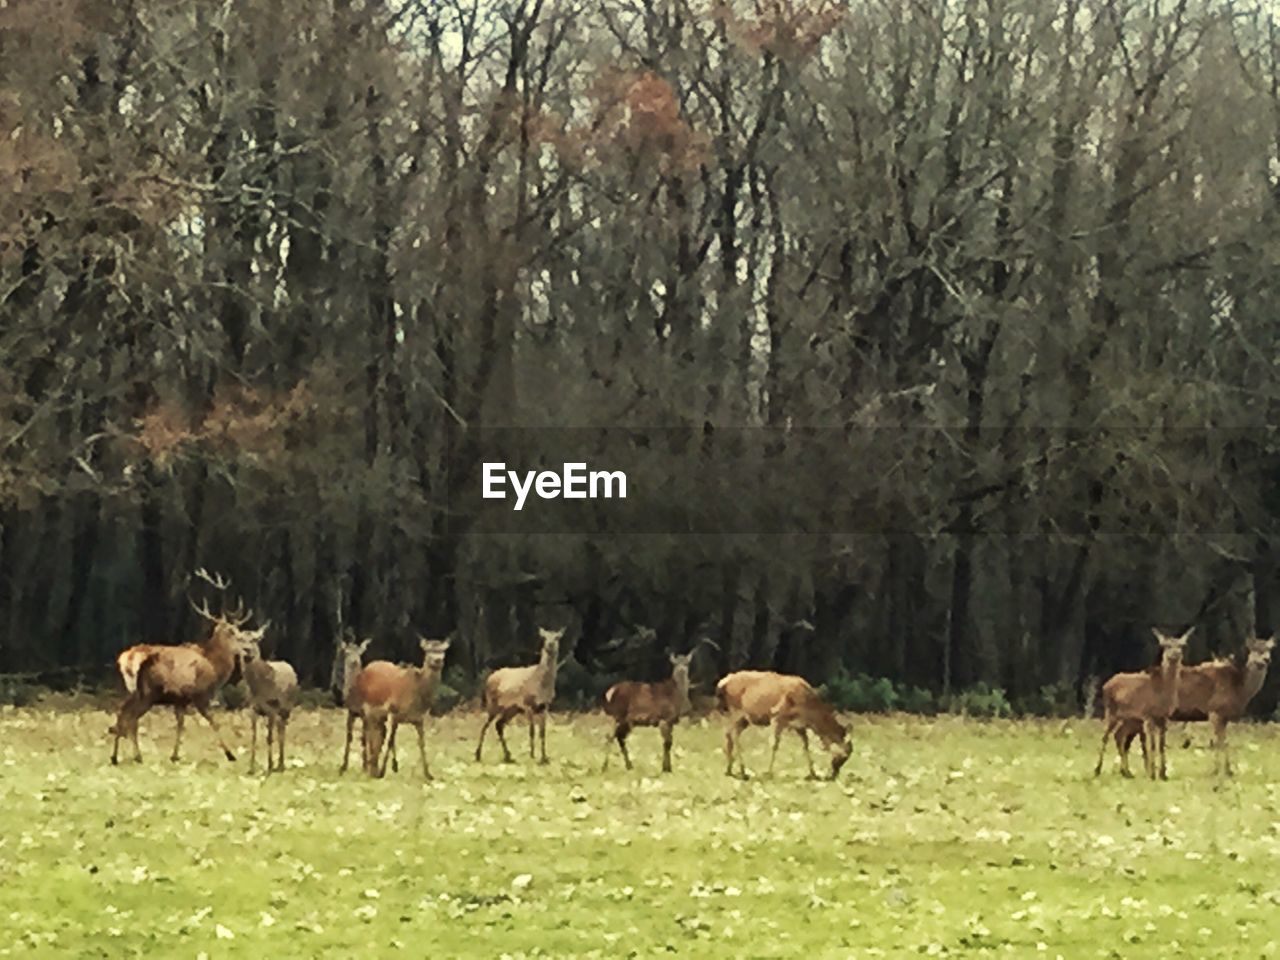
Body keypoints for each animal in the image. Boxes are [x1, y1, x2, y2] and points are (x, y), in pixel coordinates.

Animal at [109, 570, 267, 768]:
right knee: (131, 718)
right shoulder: (200, 694)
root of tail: (128, 658)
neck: (214, 665)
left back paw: (115, 757)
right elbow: (213, 722)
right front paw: (230, 754)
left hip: (133, 691)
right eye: (234, 633)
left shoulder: (180, 700)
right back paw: (137, 756)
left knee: (121, 712)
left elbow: (180, 724)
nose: (247, 650)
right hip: (149, 692)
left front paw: (175, 755)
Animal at [476, 632, 565, 768]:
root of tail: (489, 678)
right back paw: (478, 755)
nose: (550, 645)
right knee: (485, 726)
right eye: (544, 637)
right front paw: (532, 755)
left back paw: (508, 756)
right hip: (493, 703)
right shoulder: (527, 703)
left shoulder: (544, 706)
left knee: (499, 724)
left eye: (557, 637)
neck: (542, 685)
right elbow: (531, 730)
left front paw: (544, 758)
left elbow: (542, 732)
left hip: (512, 708)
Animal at [721, 670, 849, 783]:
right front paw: (768, 773)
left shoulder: (799, 726)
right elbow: (774, 745)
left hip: (744, 719)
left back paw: (730, 770)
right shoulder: (777, 716)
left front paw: (813, 774)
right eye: (845, 755)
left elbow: (806, 746)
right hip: (736, 711)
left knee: (729, 734)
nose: (834, 775)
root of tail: (725, 681)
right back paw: (742, 771)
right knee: (732, 735)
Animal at [1090, 632, 1187, 783]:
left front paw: (1163, 774)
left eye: (1181, 645)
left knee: (1119, 736)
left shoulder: (1164, 718)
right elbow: (1151, 745)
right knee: (1105, 736)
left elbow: (1161, 745)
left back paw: (1126, 772)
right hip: (1111, 711)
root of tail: (1105, 685)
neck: (1162, 694)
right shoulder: (1148, 716)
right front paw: (1152, 774)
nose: (1175, 654)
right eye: (1166, 646)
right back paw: (1097, 770)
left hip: (1129, 719)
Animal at [1111, 634, 1269, 778]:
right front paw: (1220, 771)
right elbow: (1220, 742)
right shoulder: (1215, 710)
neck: (1240, 688)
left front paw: (1228, 771)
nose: (1265, 660)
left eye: (1269, 649)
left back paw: (1128, 771)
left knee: (1124, 737)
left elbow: (1224, 741)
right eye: (1254, 649)